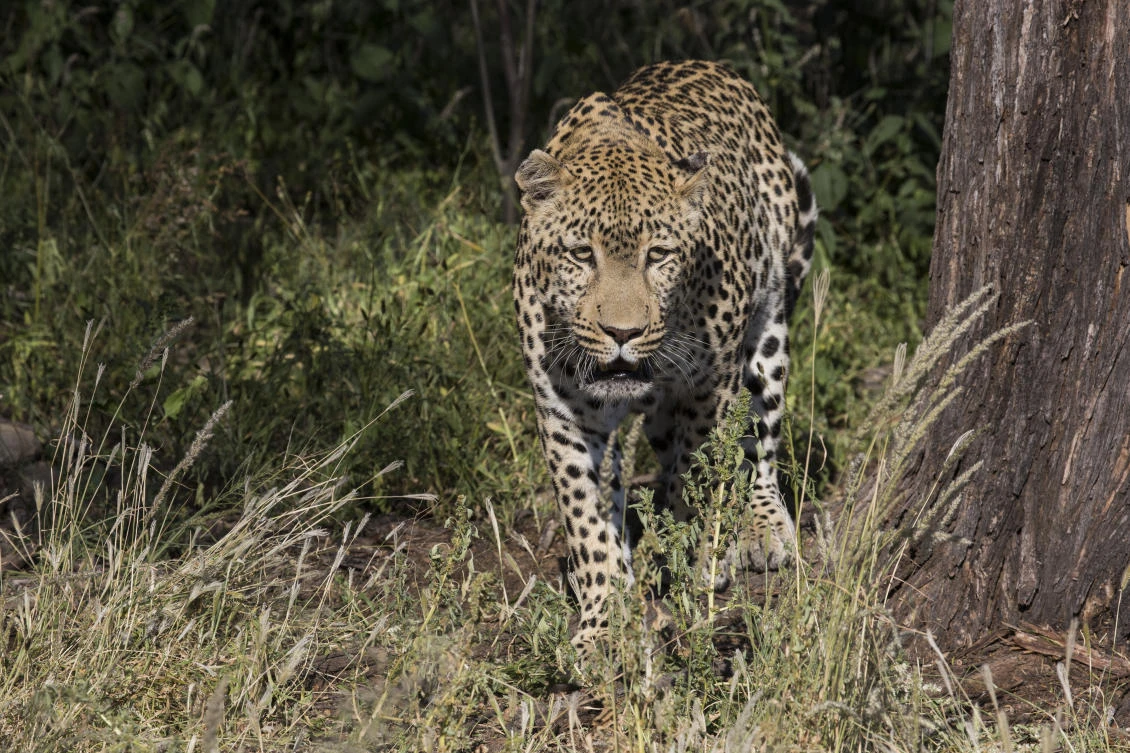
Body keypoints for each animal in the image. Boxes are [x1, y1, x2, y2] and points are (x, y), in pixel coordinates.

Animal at [511, 60, 817, 651]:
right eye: (581, 254)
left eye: (659, 255)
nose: (622, 332)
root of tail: (711, 65)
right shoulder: (562, 409)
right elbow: (586, 518)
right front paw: (605, 619)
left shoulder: (710, 386)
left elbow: (698, 469)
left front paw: (691, 552)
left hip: (767, 335)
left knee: (759, 440)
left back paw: (761, 526)